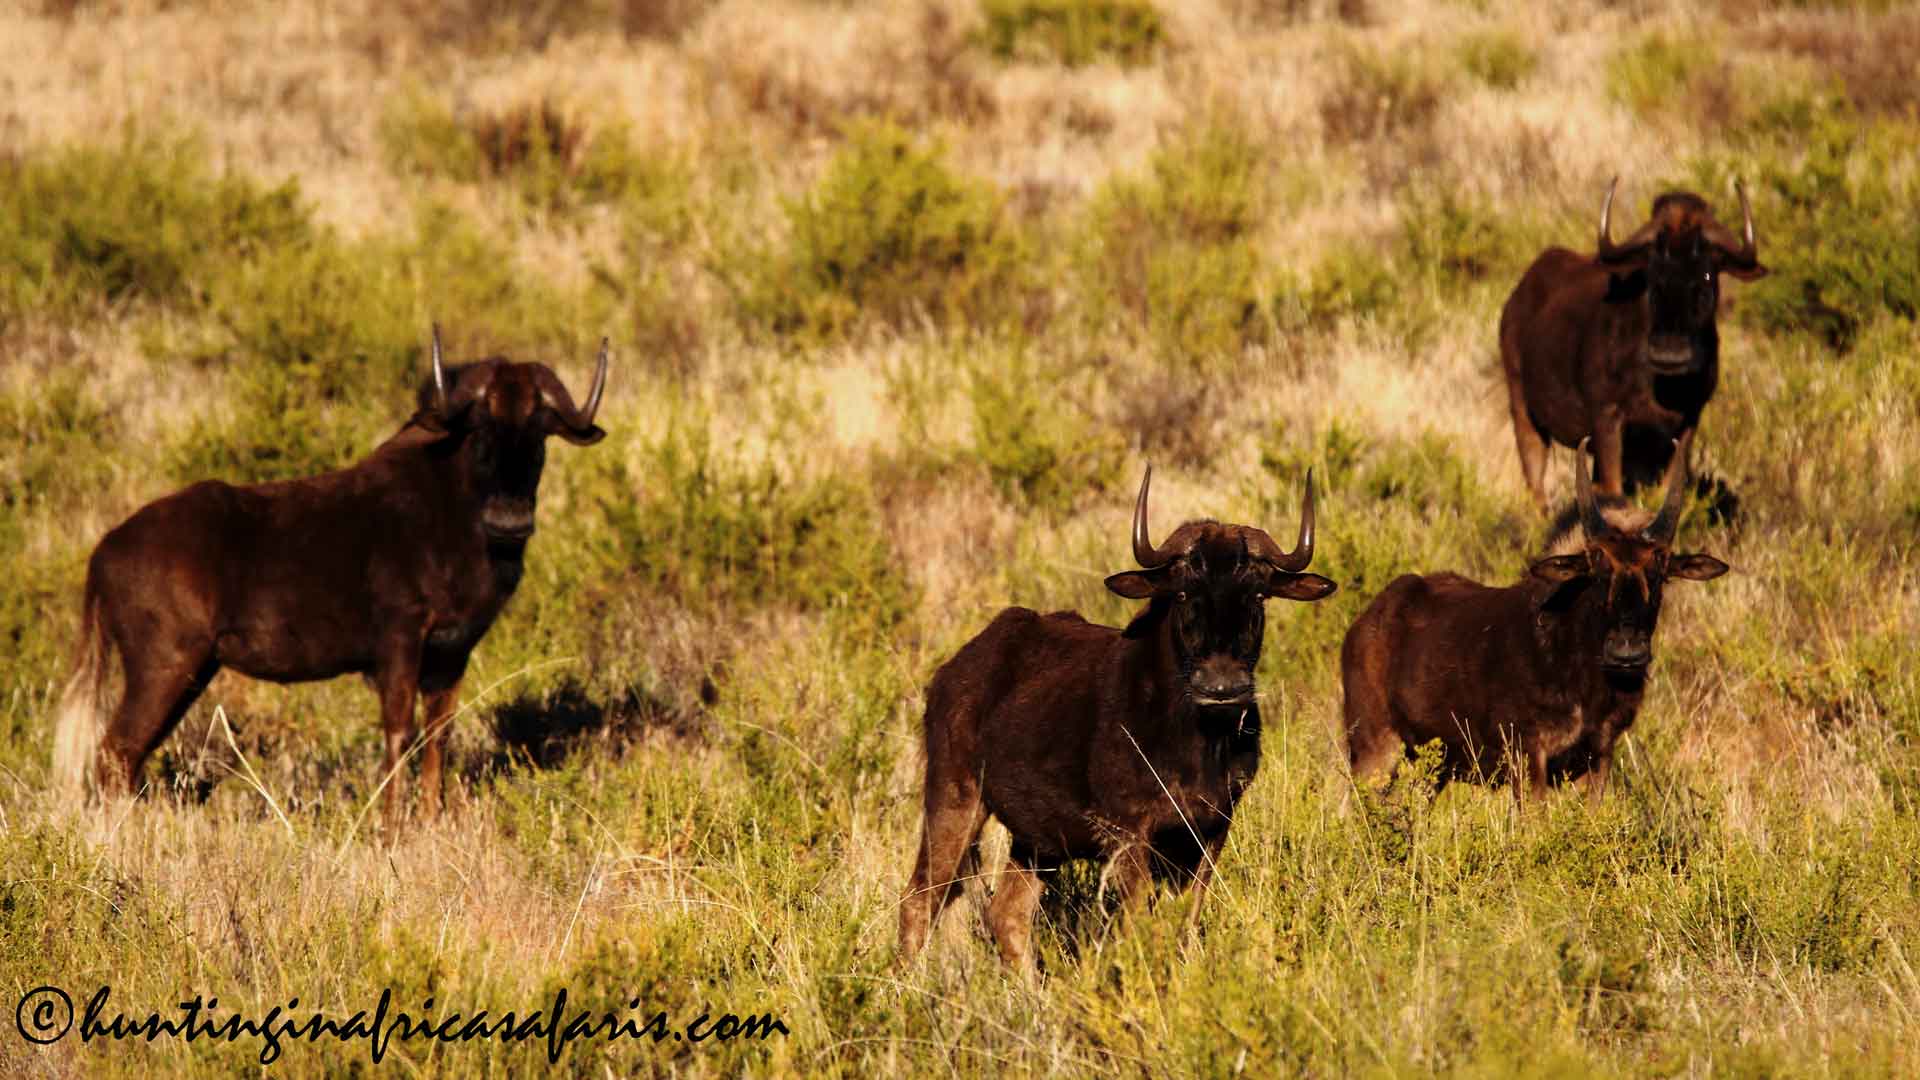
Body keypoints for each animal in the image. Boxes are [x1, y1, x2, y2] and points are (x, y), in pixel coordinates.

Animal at [51, 327, 609, 829]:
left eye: (540, 431)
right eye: (480, 428)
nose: (510, 521)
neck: (457, 510)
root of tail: (105, 550)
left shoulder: (452, 655)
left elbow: (438, 737)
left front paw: (431, 823)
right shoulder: (400, 643)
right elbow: (399, 732)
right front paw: (390, 833)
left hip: (190, 671)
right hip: (163, 667)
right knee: (114, 752)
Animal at [897, 466, 1336, 972]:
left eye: (1258, 595)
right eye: (1183, 591)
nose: (1221, 685)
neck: (1195, 744)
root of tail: (950, 673)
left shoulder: (1209, 832)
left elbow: (1185, 925)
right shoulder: (1129, 836)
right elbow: (1137, 927)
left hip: (1035, 842)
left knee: (1006, 914)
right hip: (954, 798)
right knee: (920, 900)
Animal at [1340, 442, 1727, 808]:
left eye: (1660, 572)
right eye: (1597, 569)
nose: (1627, 652)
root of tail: (1363, 624)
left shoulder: (1598, 756)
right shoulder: (1527, 756)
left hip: (1430, 767)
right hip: (1374, 748)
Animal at [1500, 178, 1766, 512]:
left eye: (1706, 273)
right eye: (1653, 271)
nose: (1669, 351)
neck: (1661, 388)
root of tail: (1516, 298)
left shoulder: (1687, 425)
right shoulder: (1607, 421)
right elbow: (1613, 493)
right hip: (1524, 413)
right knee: (1536, 488)